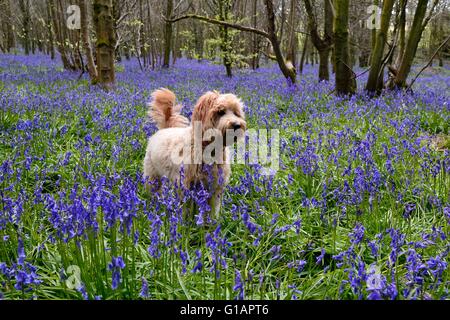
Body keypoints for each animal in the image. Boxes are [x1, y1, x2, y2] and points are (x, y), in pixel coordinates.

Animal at [143, 87, 246, 218]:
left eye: (236, 113)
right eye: (220, 112)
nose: (237, 125)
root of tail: (165, 129)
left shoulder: (214, 187)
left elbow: (212, 210)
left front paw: (211, 222)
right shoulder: (186, 184)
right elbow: (186, 209)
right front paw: (186, 221)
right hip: (152, 176)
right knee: (154, 190)